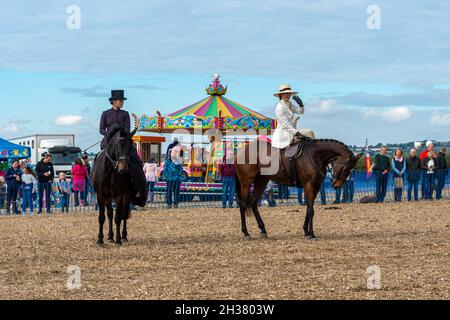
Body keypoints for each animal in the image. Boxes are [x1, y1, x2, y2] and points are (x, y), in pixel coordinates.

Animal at [234, 138, 364, 240]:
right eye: (346, 168)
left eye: (351, 170)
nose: (337, 185)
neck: (314, 155)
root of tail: (240, 152)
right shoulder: (309, 186)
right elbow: (311, 210)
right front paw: (310, 233)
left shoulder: (316, 187)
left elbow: (310, 209)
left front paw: (308, 232)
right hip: (246, 183)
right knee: (243, 204)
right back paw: (246, 233)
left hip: (261, 181)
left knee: (253, 202)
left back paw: (263, 230)